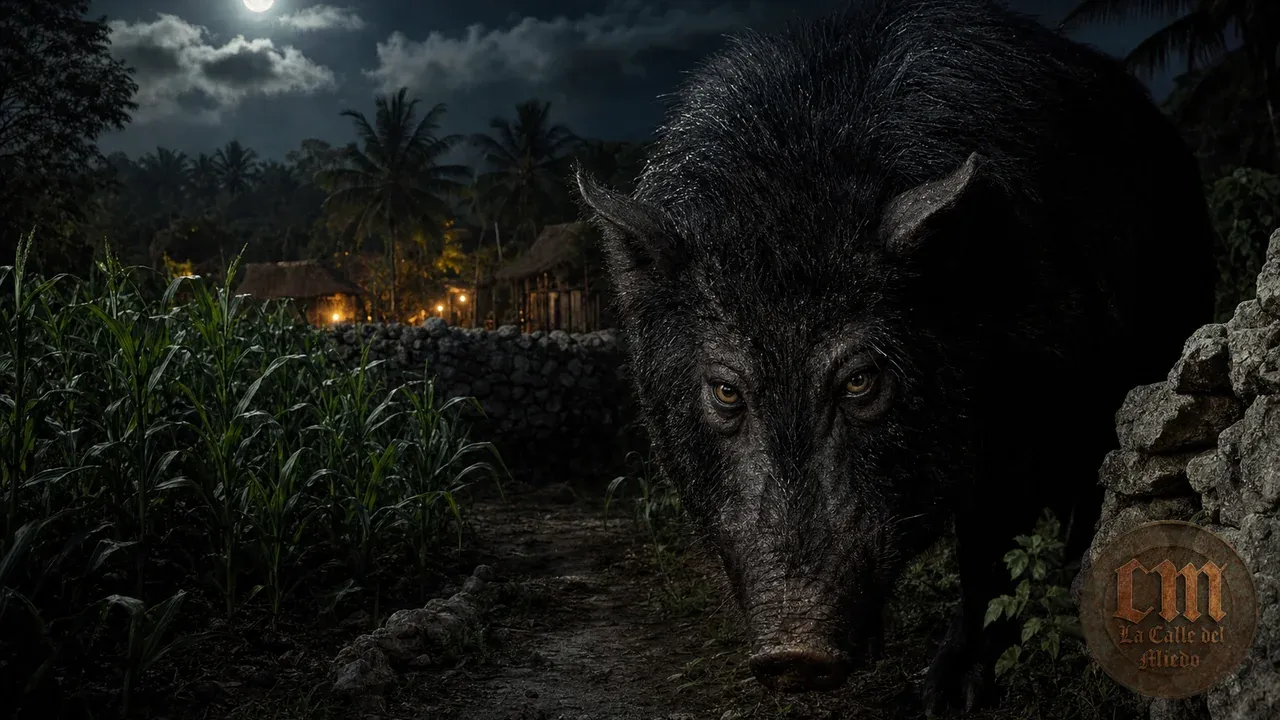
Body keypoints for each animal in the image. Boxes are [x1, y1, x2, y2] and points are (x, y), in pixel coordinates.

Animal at [576, 0, 1215, 713]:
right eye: (726, 391)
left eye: (860, 379)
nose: (794, 654)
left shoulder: (1020, 415)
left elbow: (988, 544)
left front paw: (944, 696)